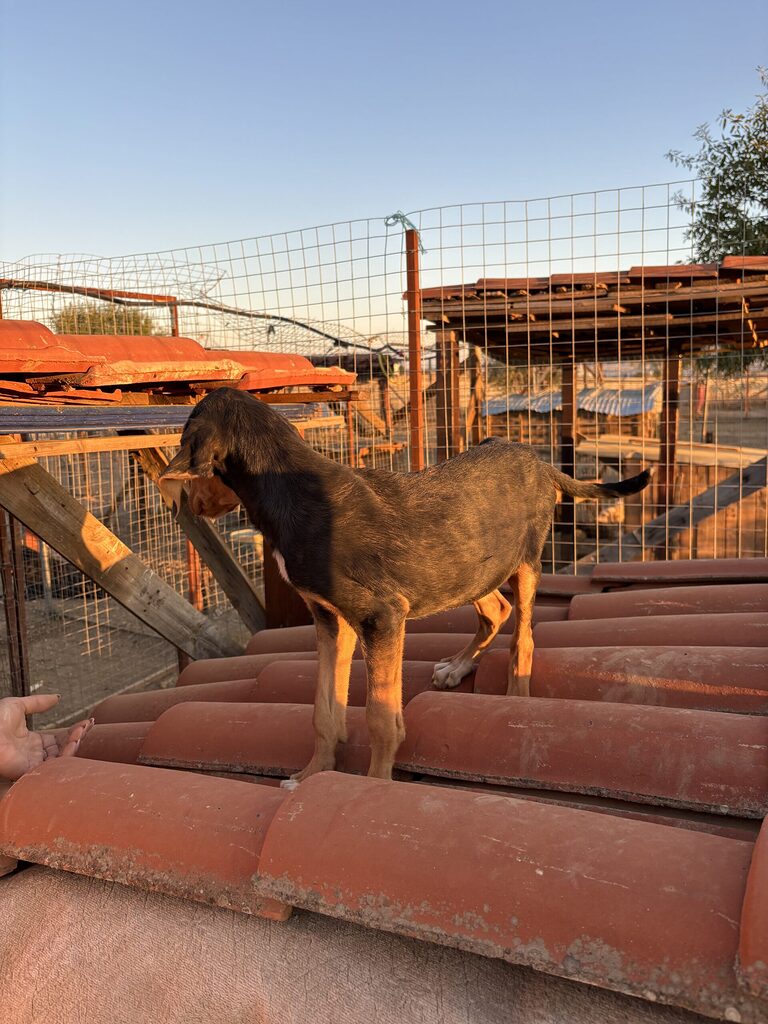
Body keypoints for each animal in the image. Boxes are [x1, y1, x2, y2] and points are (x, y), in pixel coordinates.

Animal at [159, 388, 651, 784]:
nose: (189, 505)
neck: (289, 488)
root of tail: (539, 461)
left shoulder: (381, 618)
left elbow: (380, 715)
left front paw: (375, 784)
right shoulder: (330, 619)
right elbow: (324, 709)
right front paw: (312, 774)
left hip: (524, 563)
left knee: (523, 638)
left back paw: (515, 697)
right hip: (469, 565)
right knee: (496, 610)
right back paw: (458, 666)